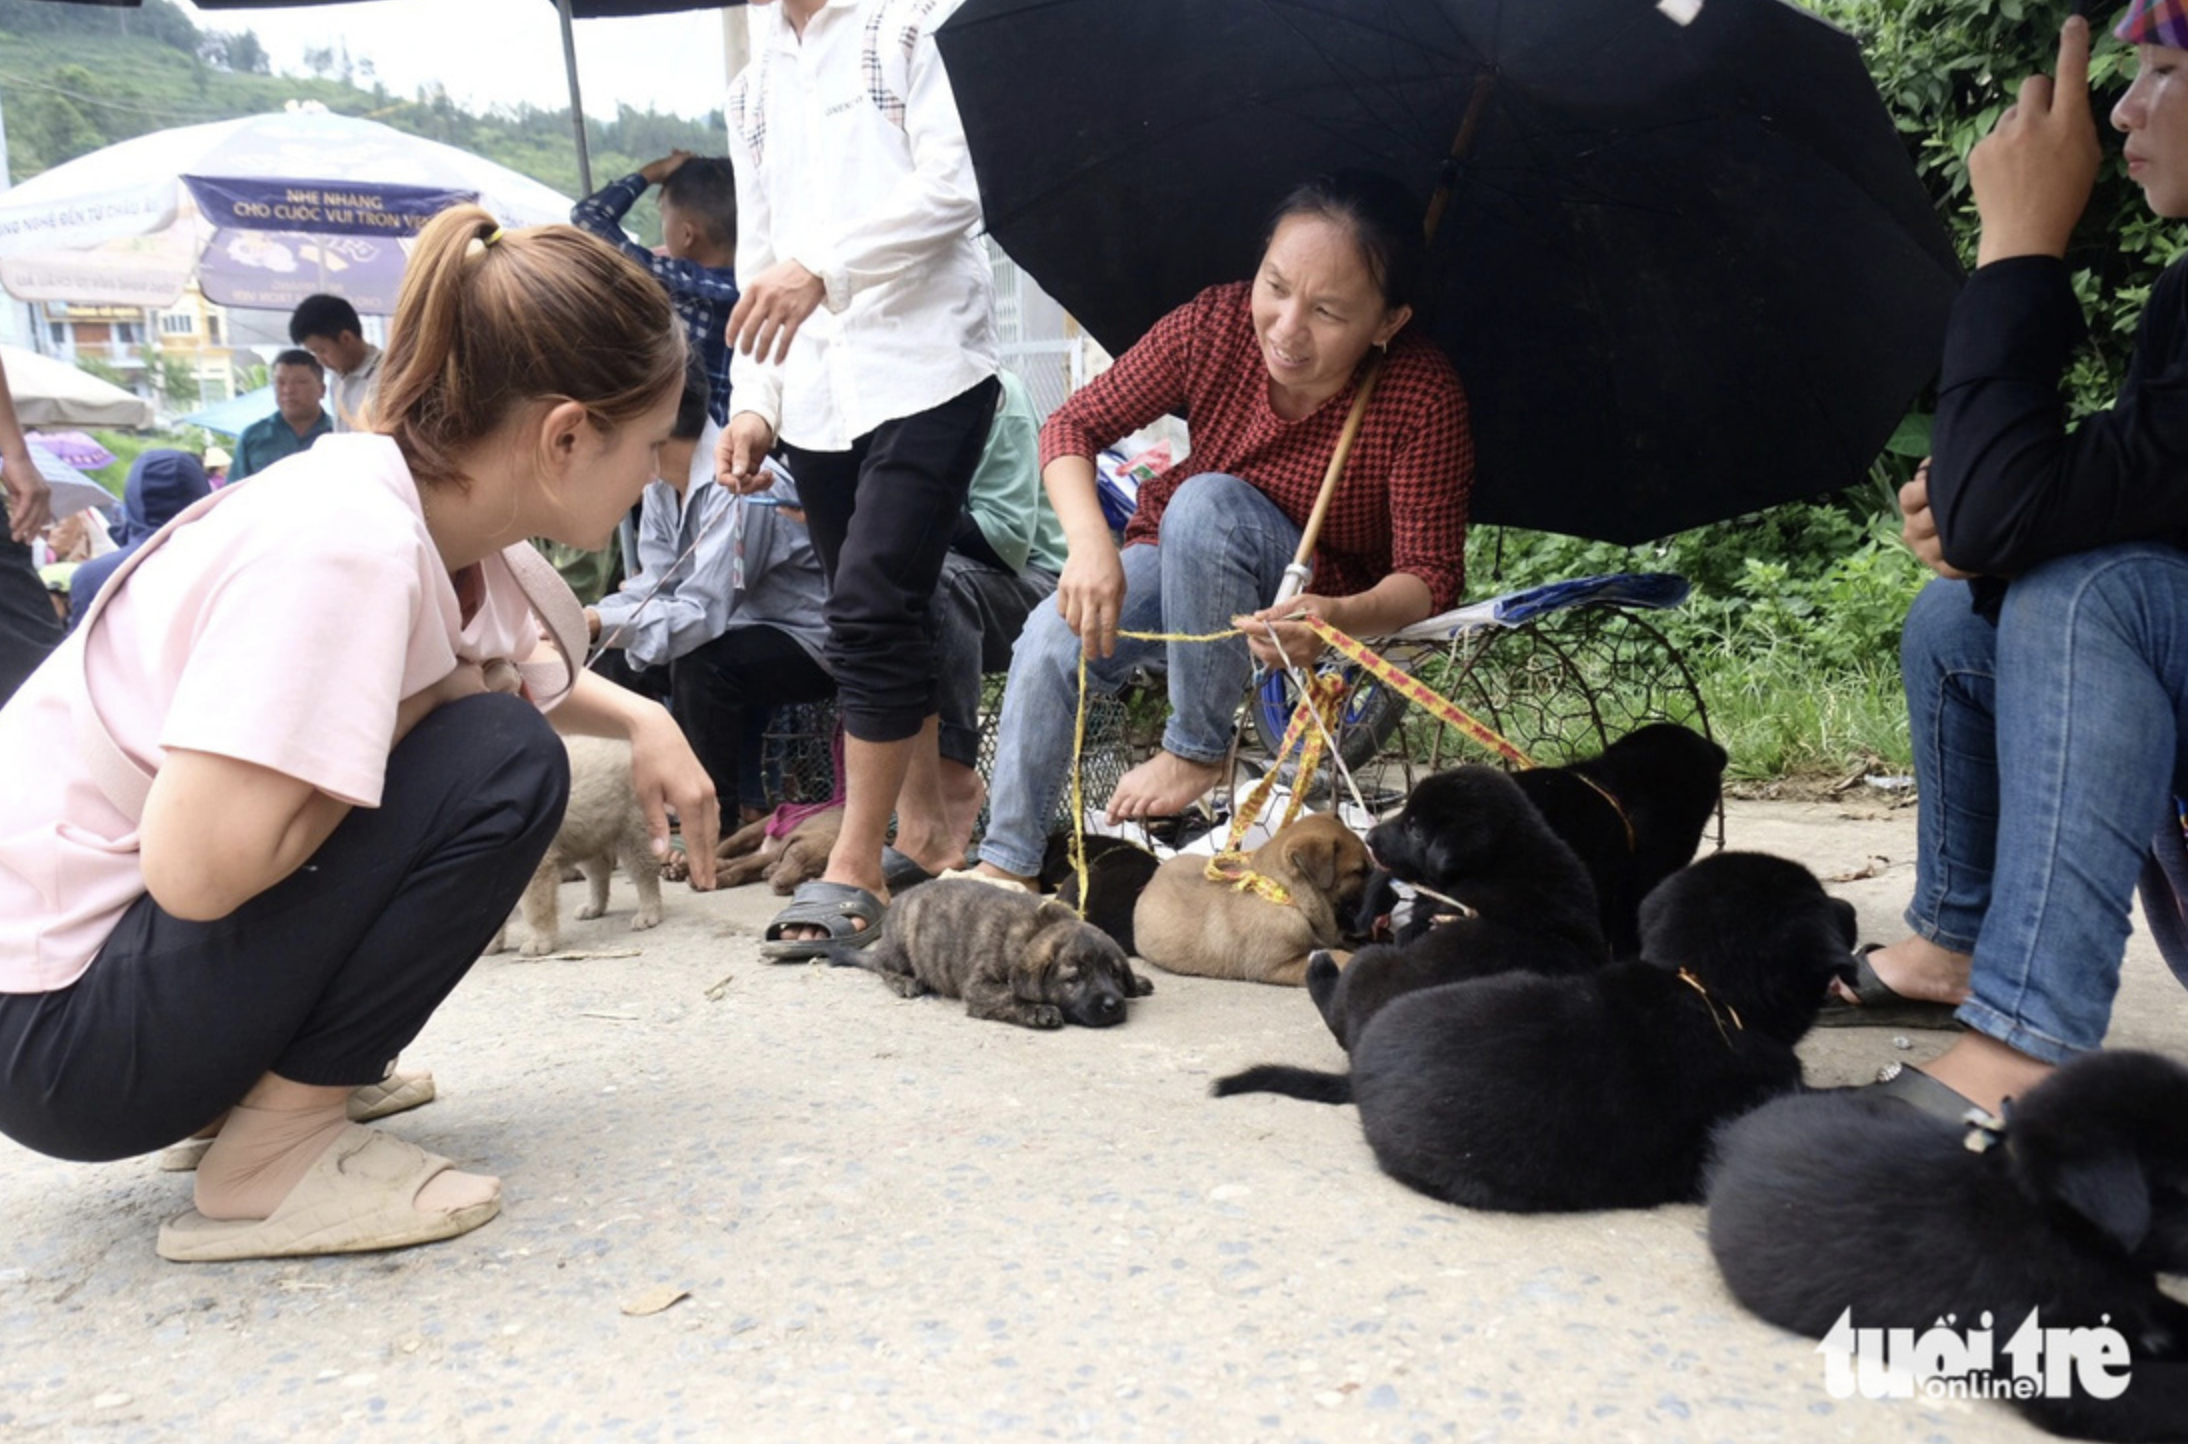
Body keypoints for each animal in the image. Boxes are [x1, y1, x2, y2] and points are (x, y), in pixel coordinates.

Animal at [492, 735, 660, 958]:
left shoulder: (535, 865)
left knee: (645, 875)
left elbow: (535, 909)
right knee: (599, 873)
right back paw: (594, 907)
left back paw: (649, 912)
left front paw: (540, 942)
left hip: (633, 832)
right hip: (588, 836)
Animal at [857, 879, 1164, 1028]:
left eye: (1115, 974)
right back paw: (903, 981)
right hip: (900, 945)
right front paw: (1038, 1010)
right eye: (1073, 979)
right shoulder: (979, 987)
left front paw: (1137, 982)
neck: (1036, 931)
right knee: (881, 964)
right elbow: (1010, 995)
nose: (1113, 1005)